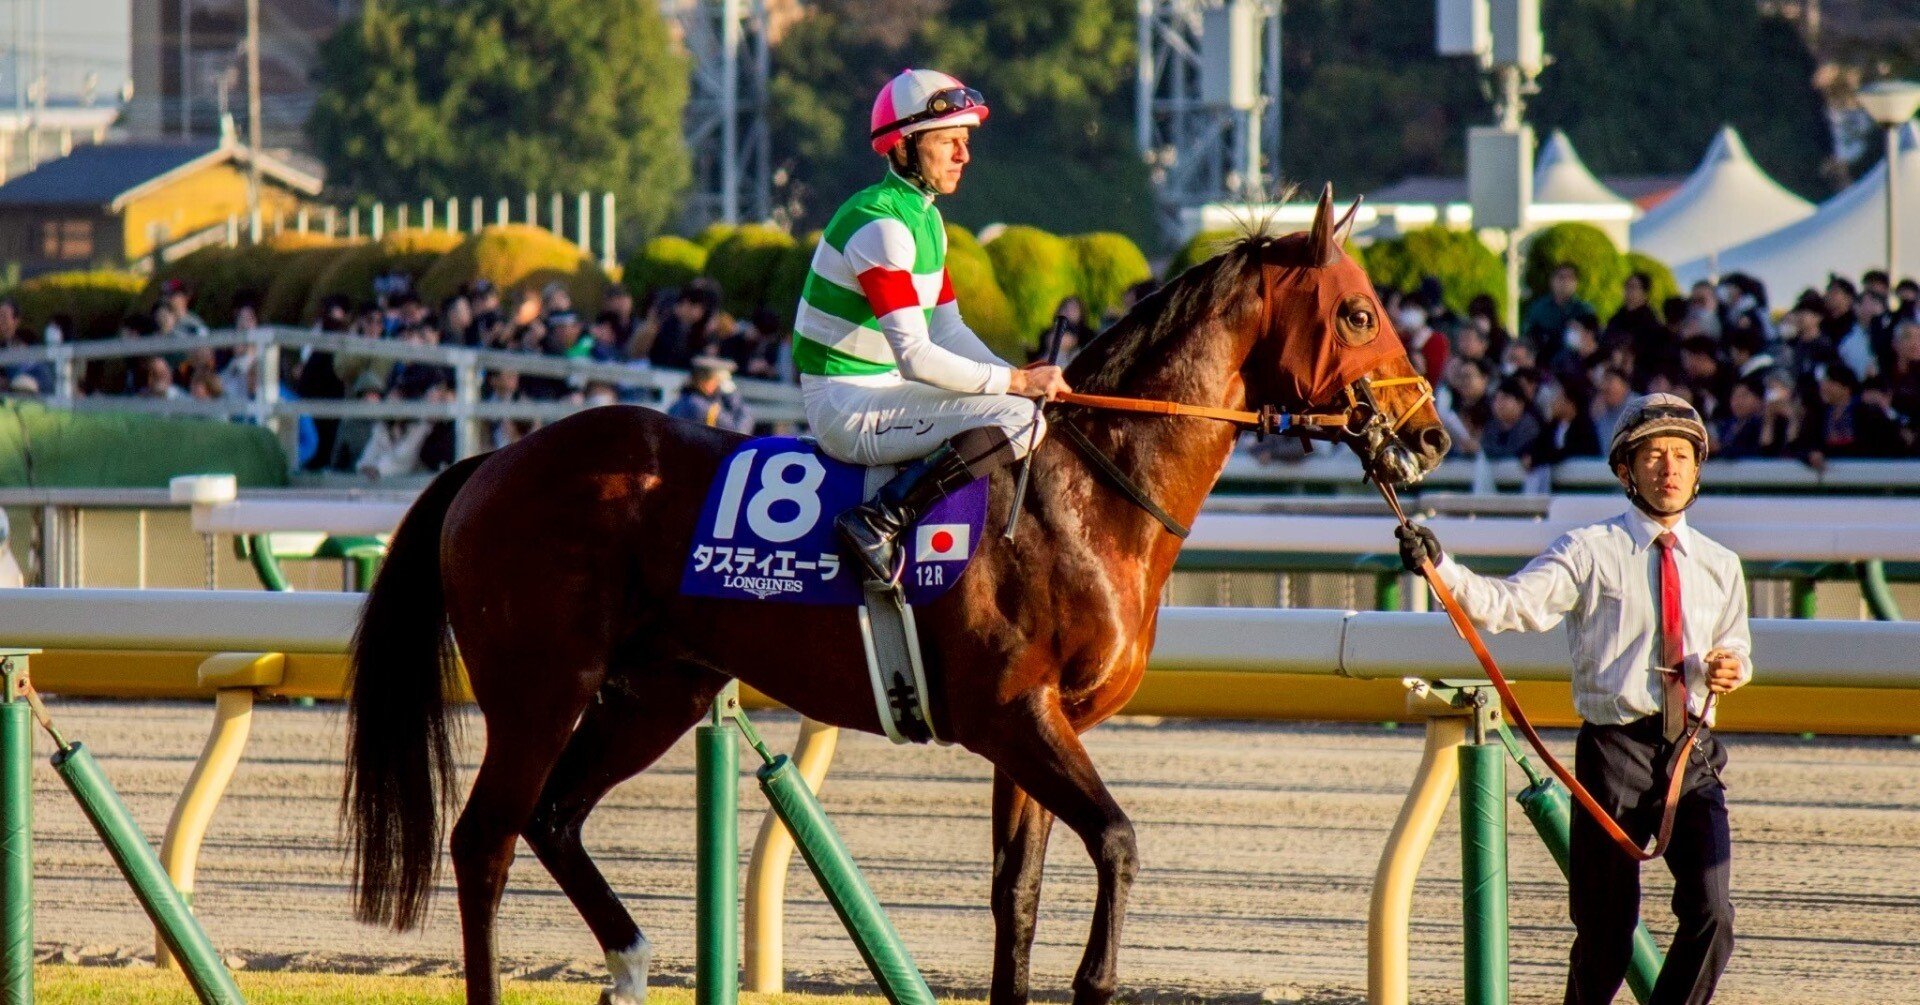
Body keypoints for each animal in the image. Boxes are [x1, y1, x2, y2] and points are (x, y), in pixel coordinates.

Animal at [343, 187, 1451, 1005]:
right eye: (1359, 312)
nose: (1431, 434)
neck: (1089, 495)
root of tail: (493, 459)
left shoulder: (1029, 731)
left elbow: (1018, 894)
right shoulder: (1019, 713)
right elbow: (1119, 842)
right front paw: (1096, 981)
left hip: (658, 689)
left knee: (556, 817)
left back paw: (630, 960)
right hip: (539, 687)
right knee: (485, 839)